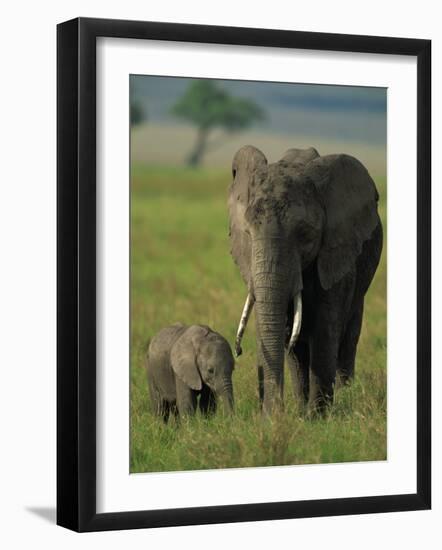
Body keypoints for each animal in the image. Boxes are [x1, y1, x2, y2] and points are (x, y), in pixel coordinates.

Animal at [230, 144, 382, 416]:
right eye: (248, 232)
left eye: (305, 234)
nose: (271, 415)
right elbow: (283, 329)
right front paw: (291, 418)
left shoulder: (336, 252)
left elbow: (325, 327)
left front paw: (318, 417)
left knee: (349, 334)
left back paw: (347, 394)